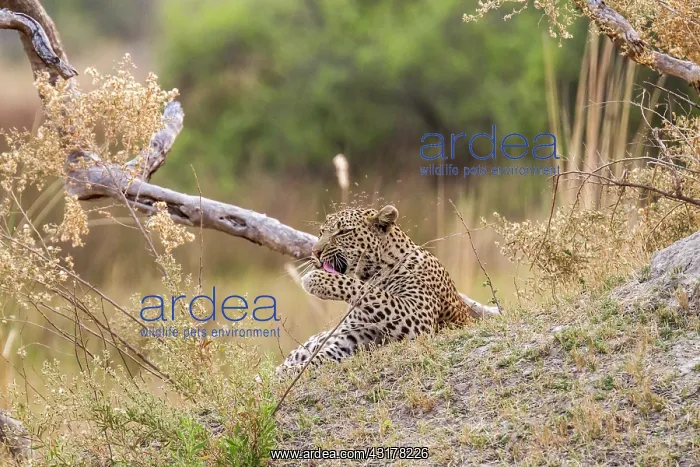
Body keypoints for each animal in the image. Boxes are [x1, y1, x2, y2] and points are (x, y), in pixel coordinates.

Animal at [275, 205, 500, 376]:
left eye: (343, 232)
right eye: (322, 232)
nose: (315, 252)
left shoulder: (416, 318)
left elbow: (373, 292)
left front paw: (317, 280)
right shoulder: (350, 340)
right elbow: (316, 359)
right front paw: (285, 373)